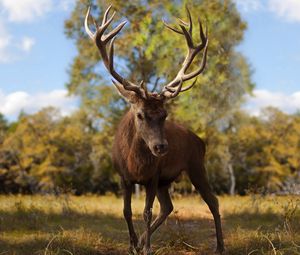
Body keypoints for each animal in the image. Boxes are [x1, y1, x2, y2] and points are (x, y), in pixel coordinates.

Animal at [85, 3, 224, 255]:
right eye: (140, 114)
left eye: (164, 115)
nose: (161, 147)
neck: (136, 164)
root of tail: (200, 140)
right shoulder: (124, 176)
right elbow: (127, 211)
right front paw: (133, 245)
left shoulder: (153, 176)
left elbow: (146, 212)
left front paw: (147, 247)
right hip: (167, 181)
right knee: (168, 206)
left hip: (196, 164)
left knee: (212, 200)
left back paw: (219, 246)